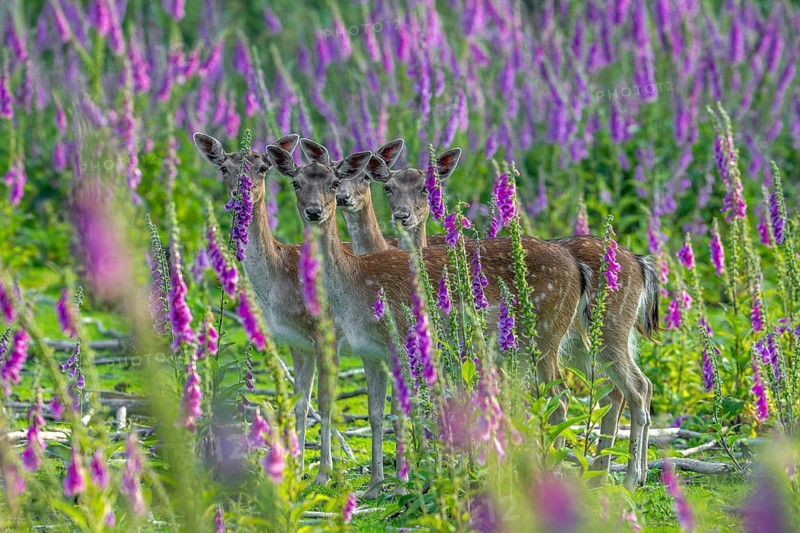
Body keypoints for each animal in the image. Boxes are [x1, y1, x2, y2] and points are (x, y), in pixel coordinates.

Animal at [192, 132, 338, 486]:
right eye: (223, 168)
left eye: (261, 167)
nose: (239, 195)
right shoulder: (296, 341)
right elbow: (301, 402)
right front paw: (297, 466)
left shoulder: (324, 330)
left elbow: (325, 401)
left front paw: (324, 473)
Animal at [267, 140, 590, 498]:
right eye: (296, 183)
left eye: (334, 183)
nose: (315, 211)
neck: (353, 286)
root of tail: (576, 268)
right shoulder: (368, 351)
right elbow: (380, 411)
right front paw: (378, 484)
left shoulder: (399, 341)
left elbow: (410, 409)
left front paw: (409, 479)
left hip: (546, 334)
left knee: (560, 398)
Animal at [363, 151, 658, 490]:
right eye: (388, 188)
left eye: (426, 188)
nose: (402, 215)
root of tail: (640, 262)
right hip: (586, 343)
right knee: (625, 388)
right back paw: (606, 474)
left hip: (586, 331)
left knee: (618, 390)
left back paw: (625, 477)